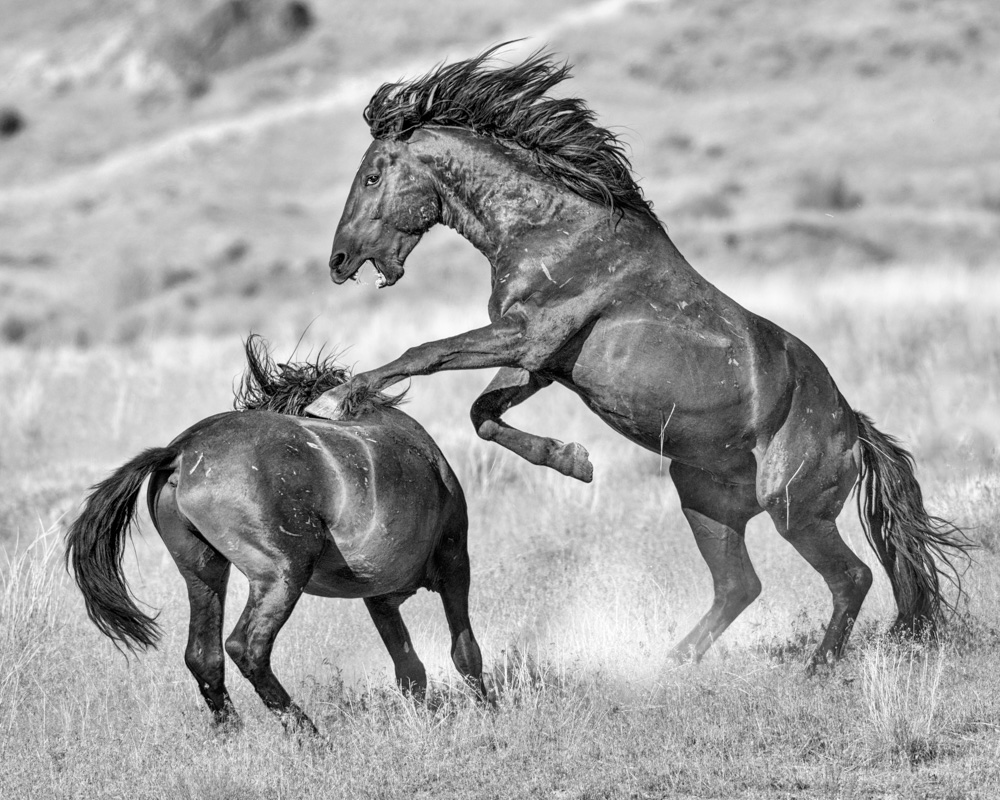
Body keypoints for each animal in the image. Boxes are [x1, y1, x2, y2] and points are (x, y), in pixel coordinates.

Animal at [64, 338, 486, 732]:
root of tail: (179, 453)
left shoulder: (379, 597)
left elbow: (410, 668)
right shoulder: (453, 566)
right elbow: (464, 651)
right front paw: (488, 712)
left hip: (204, 571)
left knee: (203, 654)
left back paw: (232, 735)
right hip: (283, 573)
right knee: (247, 647)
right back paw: (308, 734)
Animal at [306, 45, 968, 668]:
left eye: (371, 177)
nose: (337, 262)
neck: (547, 227)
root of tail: (853, 427)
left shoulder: (528, 335)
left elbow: (426, 353)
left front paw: (342, 395)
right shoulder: (540, 361)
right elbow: (482, 414)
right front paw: (574, 461)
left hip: (795, 510)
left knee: (850, 577)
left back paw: (816, 668)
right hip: (703, 498)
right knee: (739, 585)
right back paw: (671, 664)